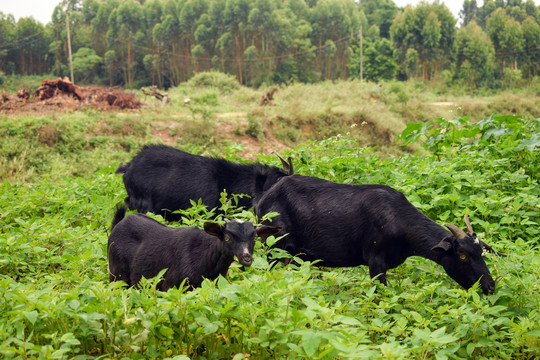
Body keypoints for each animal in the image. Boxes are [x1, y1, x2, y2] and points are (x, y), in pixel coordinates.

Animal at [107, 205, 280, 290]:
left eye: (255, 237)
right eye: (227, 237)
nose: (246, 258)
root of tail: (117, 225)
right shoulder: (173, 286)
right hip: (117, 276)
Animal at [255, 174, 504, 296]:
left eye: (481, 252)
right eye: (462, 256)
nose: (490, 287)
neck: (398, 221)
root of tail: (263, 200)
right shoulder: (375, 262)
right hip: (274, 248)